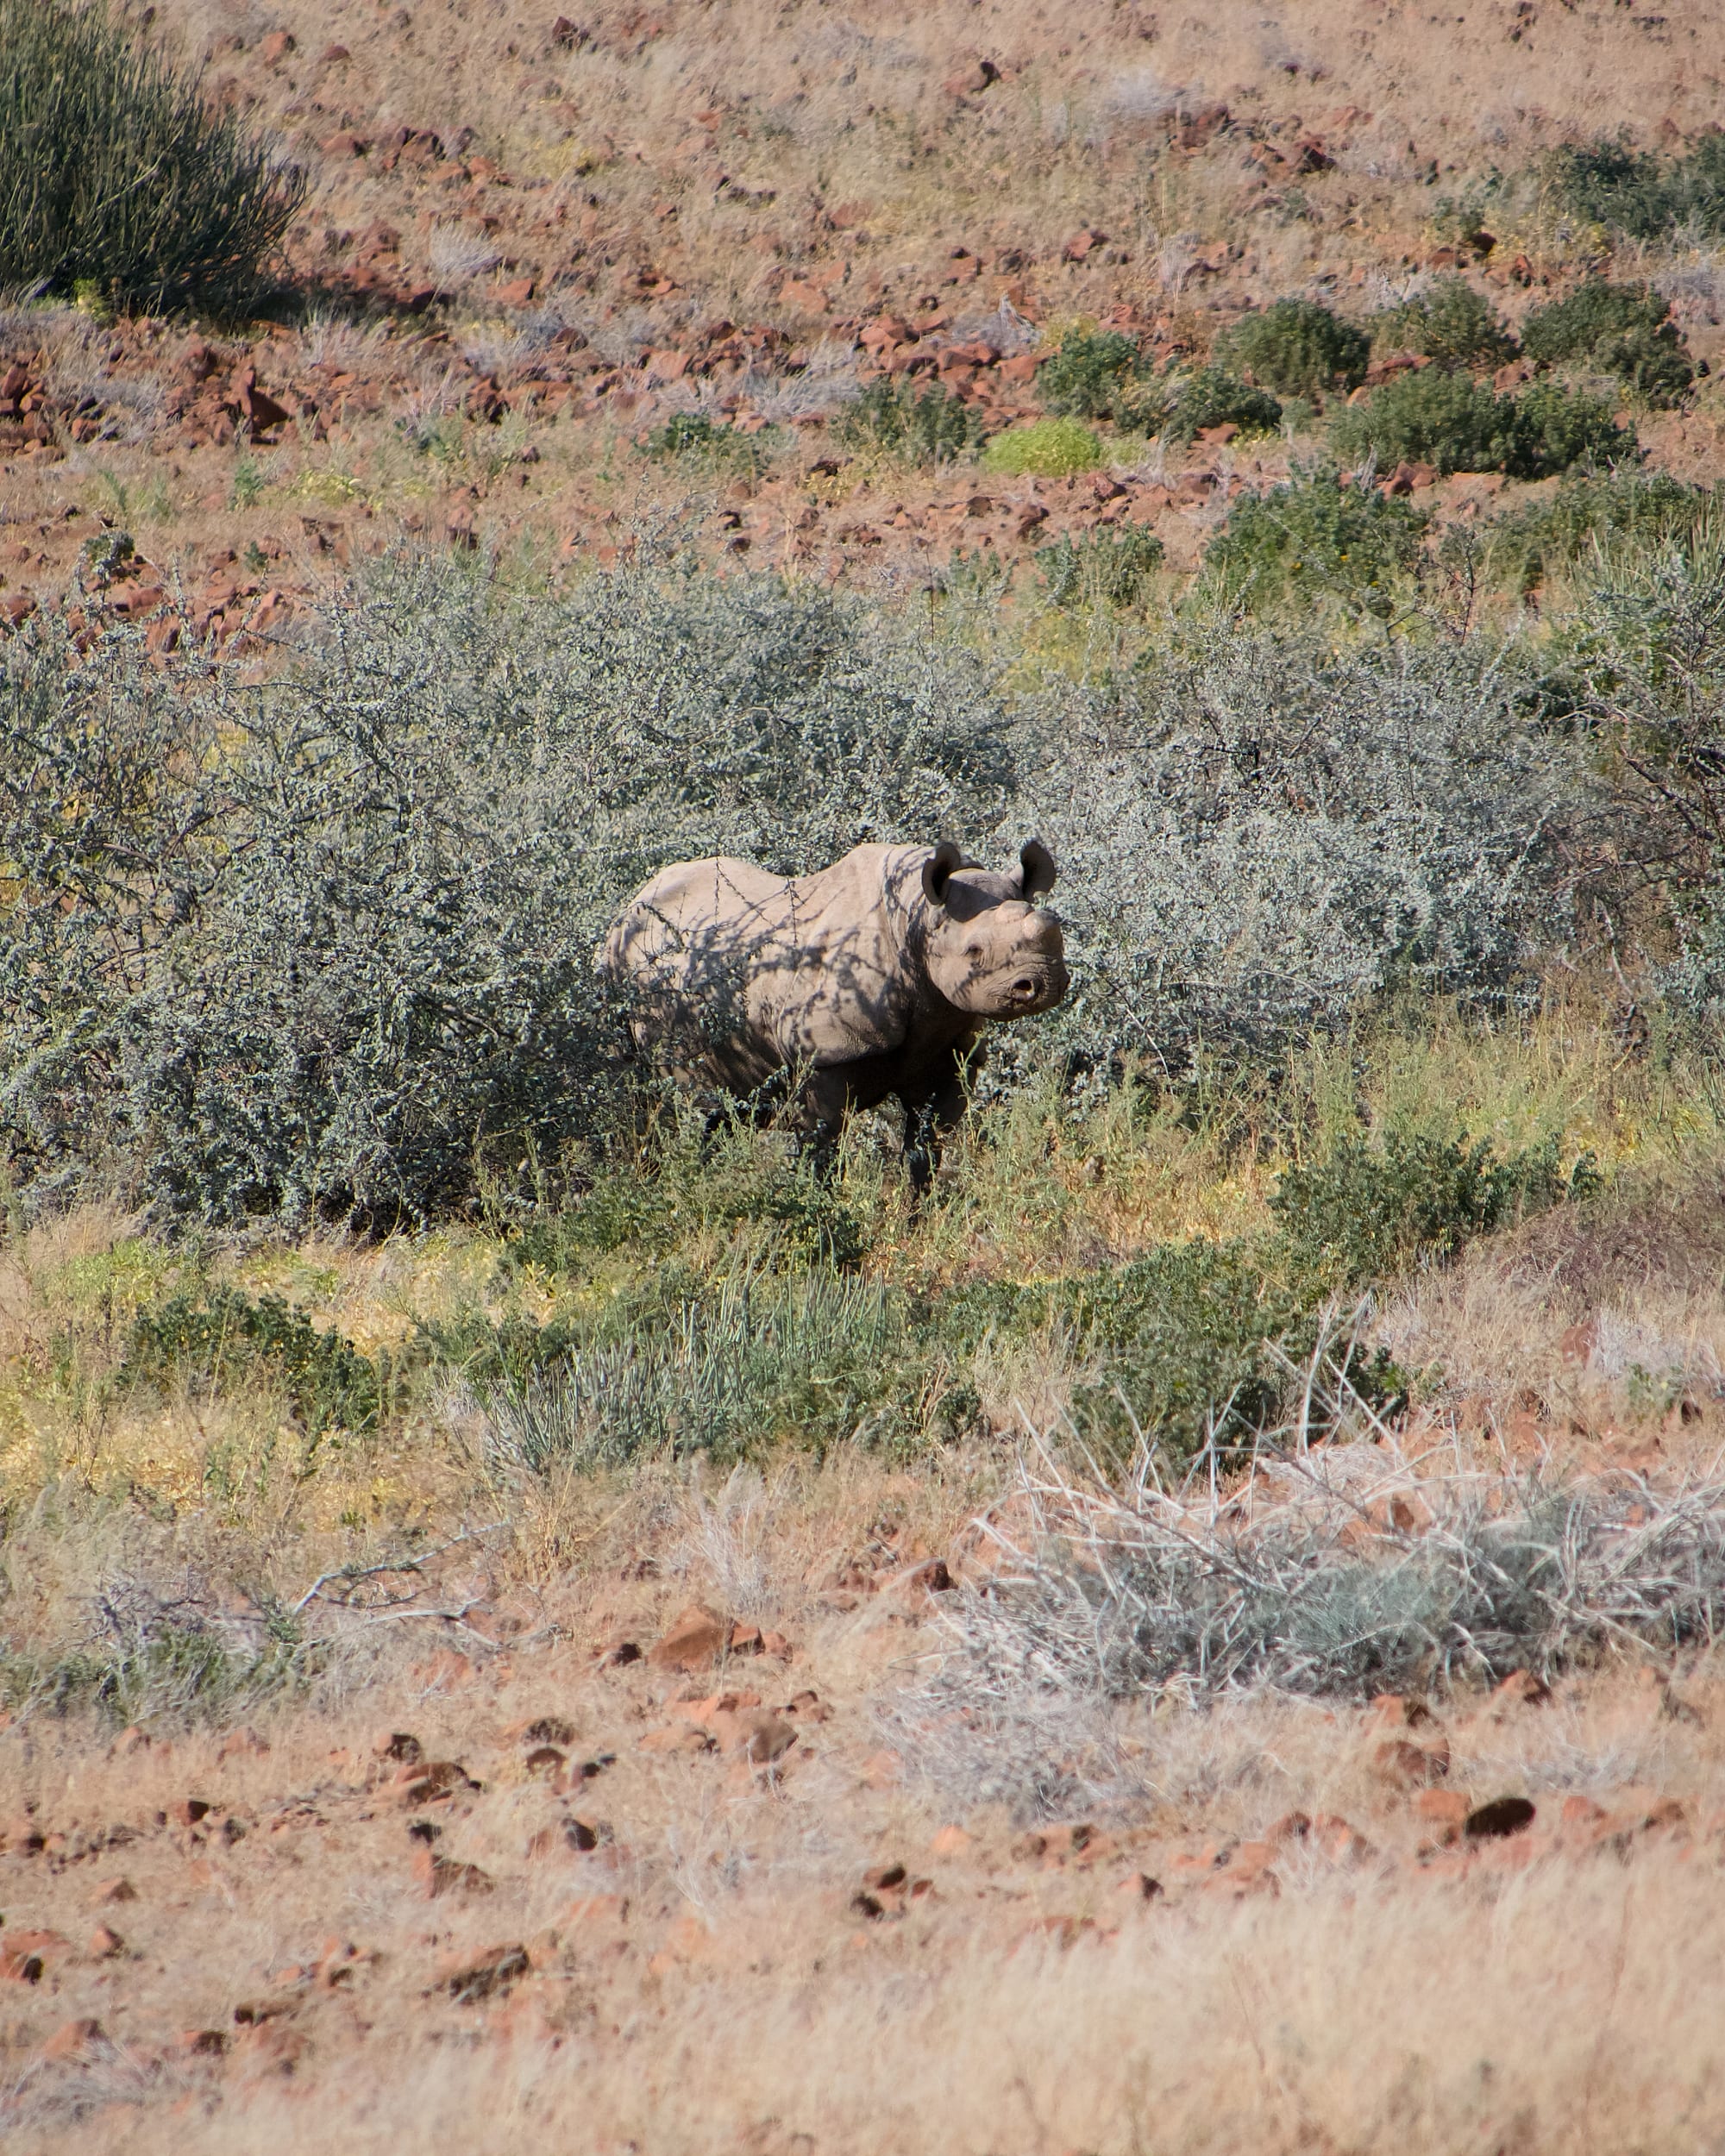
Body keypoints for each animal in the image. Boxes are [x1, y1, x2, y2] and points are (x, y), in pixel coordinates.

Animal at [599, 839, 1069, 1182]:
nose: (1042, 983)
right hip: (626, 970)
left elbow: (927, 1146)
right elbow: (824, 1144)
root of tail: (624, 912)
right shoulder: (826, 1052)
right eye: (973, 951)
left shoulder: (948, 1049)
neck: (916, 919)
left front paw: (922, 1220)